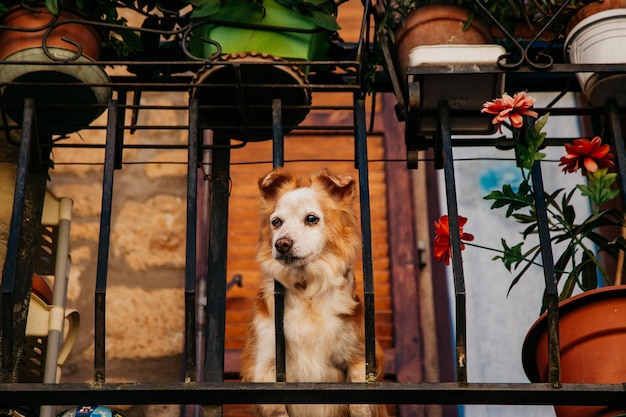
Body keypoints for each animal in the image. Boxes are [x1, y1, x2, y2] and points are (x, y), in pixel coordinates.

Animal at [239, 167, 386, 416]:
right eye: (276, 222)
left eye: (311, 219)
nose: (281, 244)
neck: (306, 290)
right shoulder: (263, 366)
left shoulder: (359, 359)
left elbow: (360, 405)